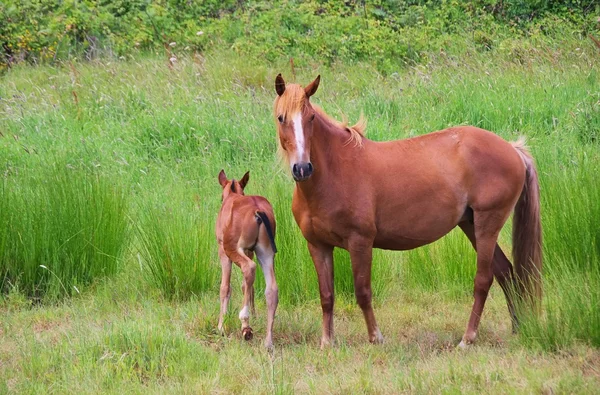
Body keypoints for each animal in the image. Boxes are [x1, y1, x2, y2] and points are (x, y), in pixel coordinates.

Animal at [217, 170, 280, 350]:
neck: (232, 196)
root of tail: (258, 211)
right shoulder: (249, 251)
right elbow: (247, 286)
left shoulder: (223, 251)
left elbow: (225, 287)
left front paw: (221, 326)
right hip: (265, 252)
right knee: (271, 288)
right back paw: (268, 341)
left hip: (233, 249)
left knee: (249, 268)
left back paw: (245, 323)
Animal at [274, 74, 540, 350]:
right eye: (281, 117)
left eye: (311, 118)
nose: (302, 168)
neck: (334, 171)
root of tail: (512, 149)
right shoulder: (318, 246)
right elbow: (326, 295)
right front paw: (327, 342)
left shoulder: (360, 242)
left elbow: (363, 291)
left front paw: (375, 337)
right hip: (471, 225)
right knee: (505, 272)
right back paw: (517, 328)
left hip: (488, 224)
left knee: (484, 279)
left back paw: (467, 338)